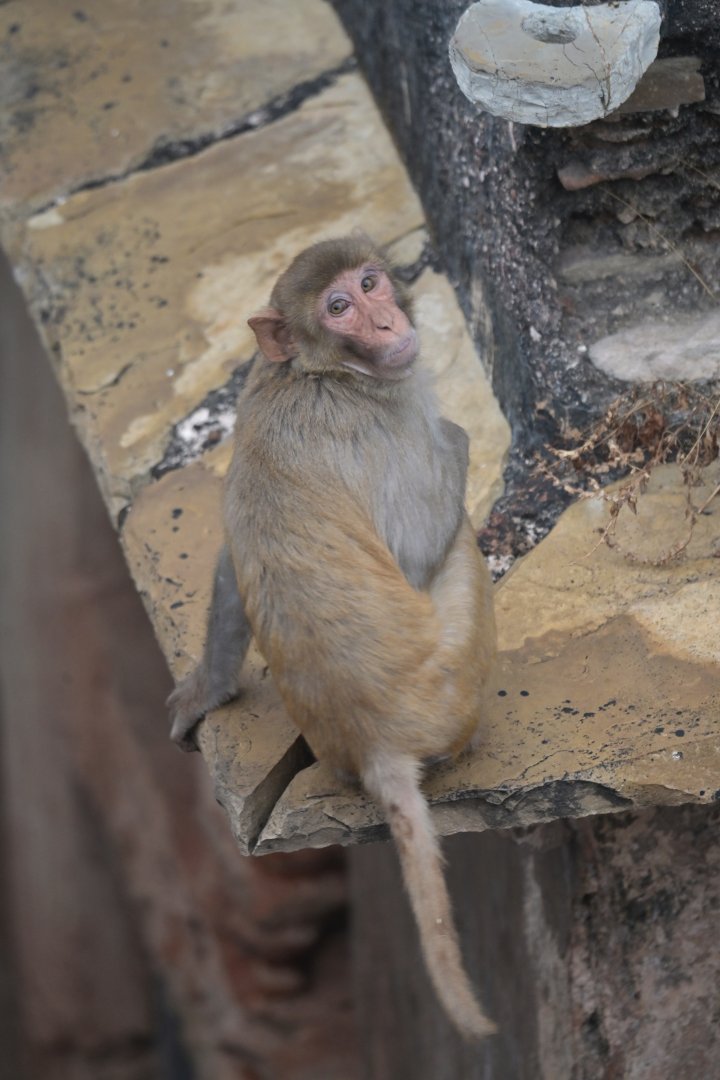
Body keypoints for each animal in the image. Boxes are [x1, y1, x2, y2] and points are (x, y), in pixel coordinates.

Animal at [168, 235, 497, 1040]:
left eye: (370, 283)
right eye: (339, 306)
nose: (384, 322)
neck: (317, 373)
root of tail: (376, 748)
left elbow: (232, 554)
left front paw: (203, 693)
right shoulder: (397, 419)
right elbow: (420, 540)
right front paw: (459, 435)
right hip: (456, 674)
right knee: (458, 549)